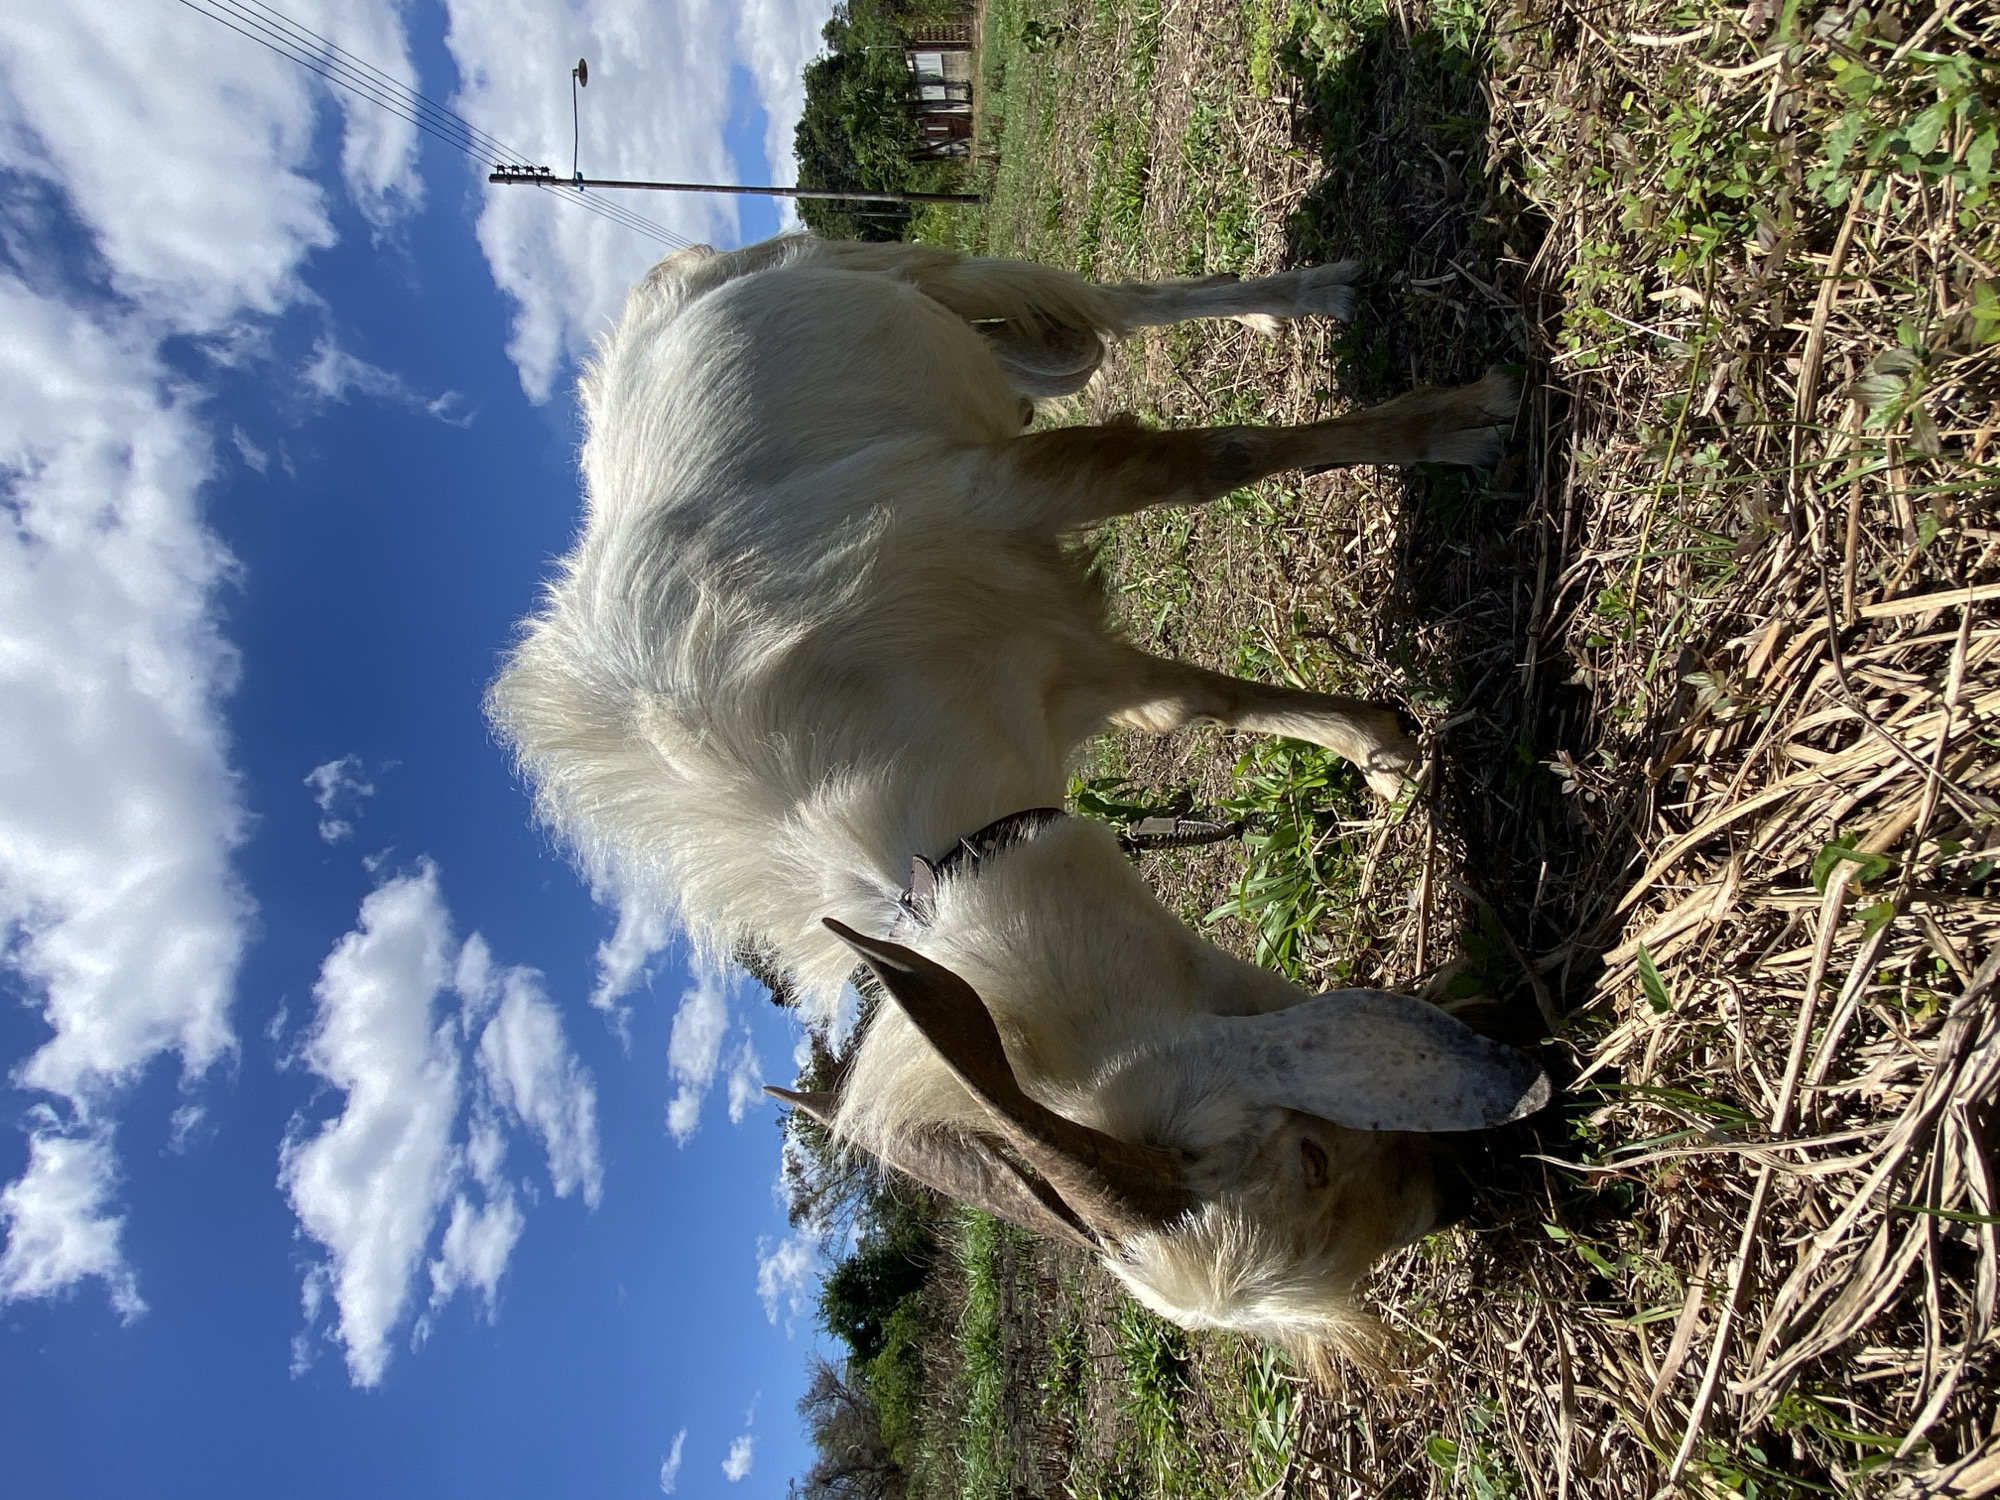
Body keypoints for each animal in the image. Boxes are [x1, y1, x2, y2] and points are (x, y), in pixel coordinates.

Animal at [488, 233, 1549, 1373]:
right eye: (1311, 1158)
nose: (1461, 1195)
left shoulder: (995, 493)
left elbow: (1214, 462)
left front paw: (1468, 420)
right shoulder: (1042, 661)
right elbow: (1193, 700)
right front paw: (1379, 749)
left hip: (915, 274)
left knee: (1114, 304)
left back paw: (1303, 296)